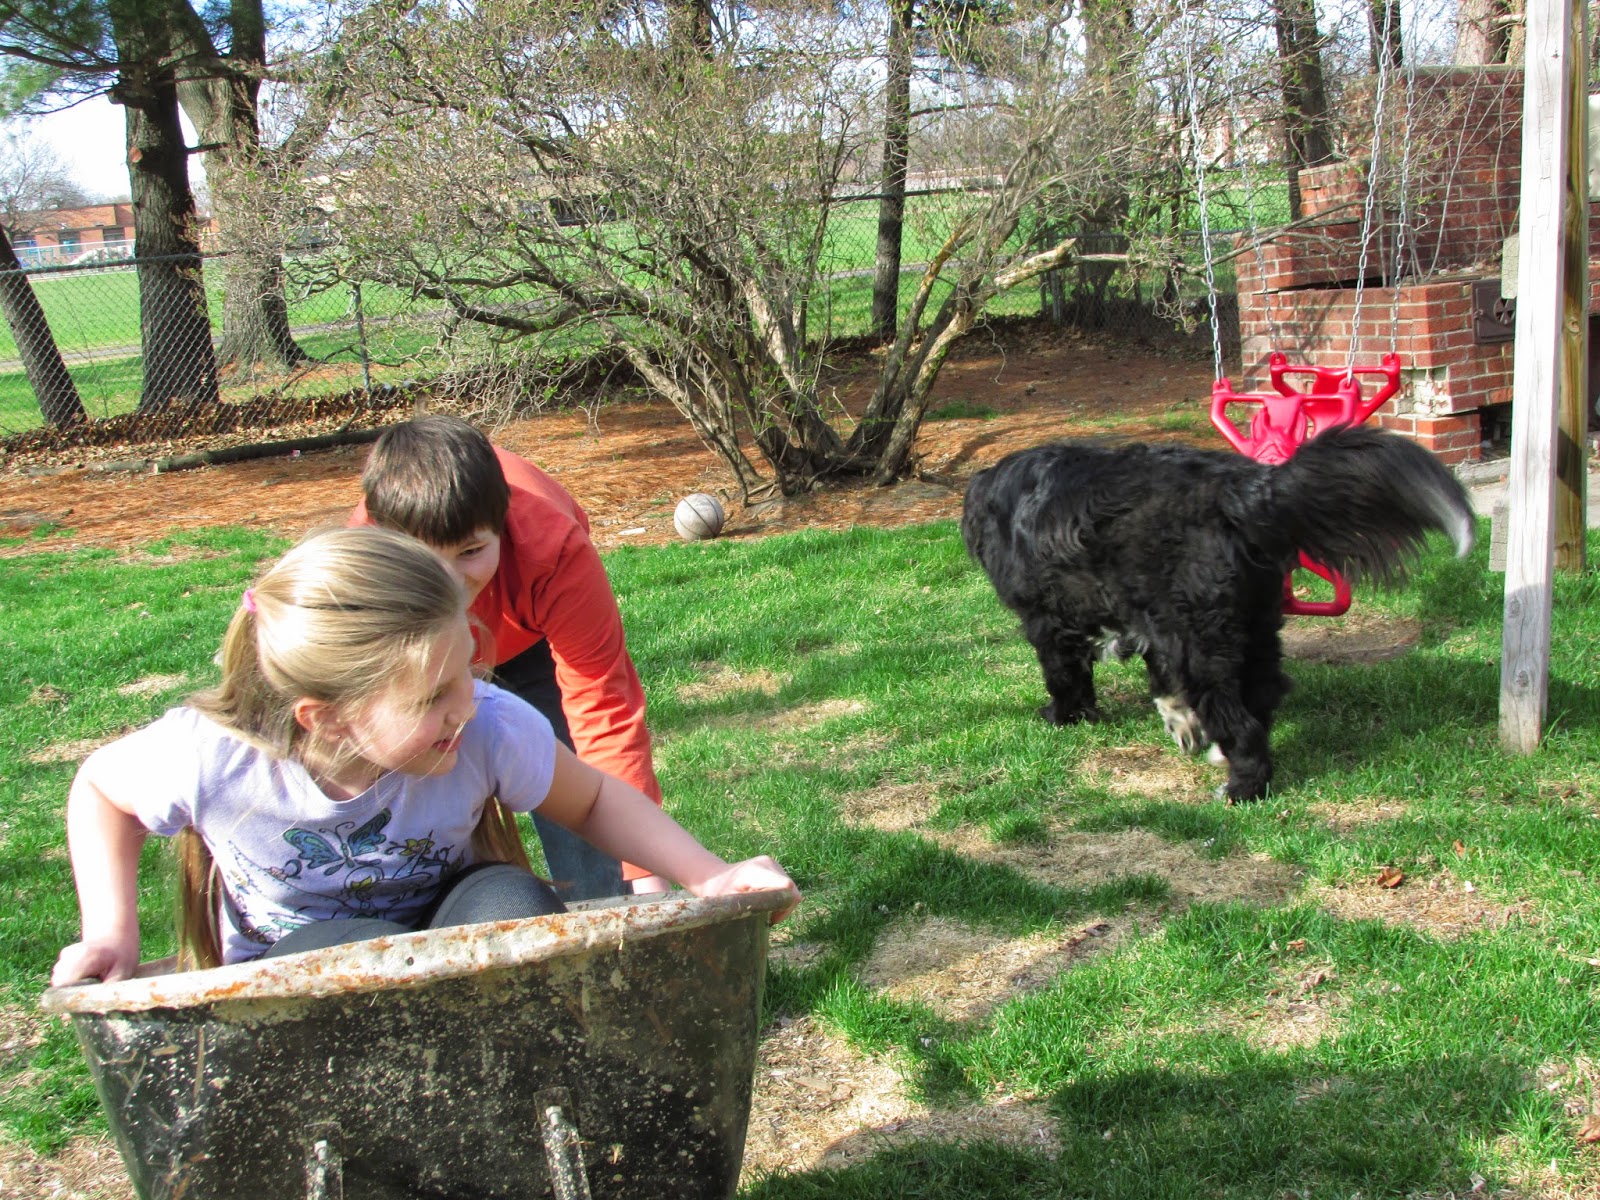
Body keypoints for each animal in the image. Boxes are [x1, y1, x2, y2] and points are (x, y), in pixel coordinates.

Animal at [960, 425, 1475, 802]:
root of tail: (1236, 491)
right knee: (1264, 695)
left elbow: (1065, 676)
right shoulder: (1152, 626)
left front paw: (1062, 715)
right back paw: (1224, 755)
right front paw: (1179, 724)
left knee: (1240, 721)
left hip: (1201, 642)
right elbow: (1160, 682)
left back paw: (1241, 787)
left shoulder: (1049, 622)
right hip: (1251, 625)